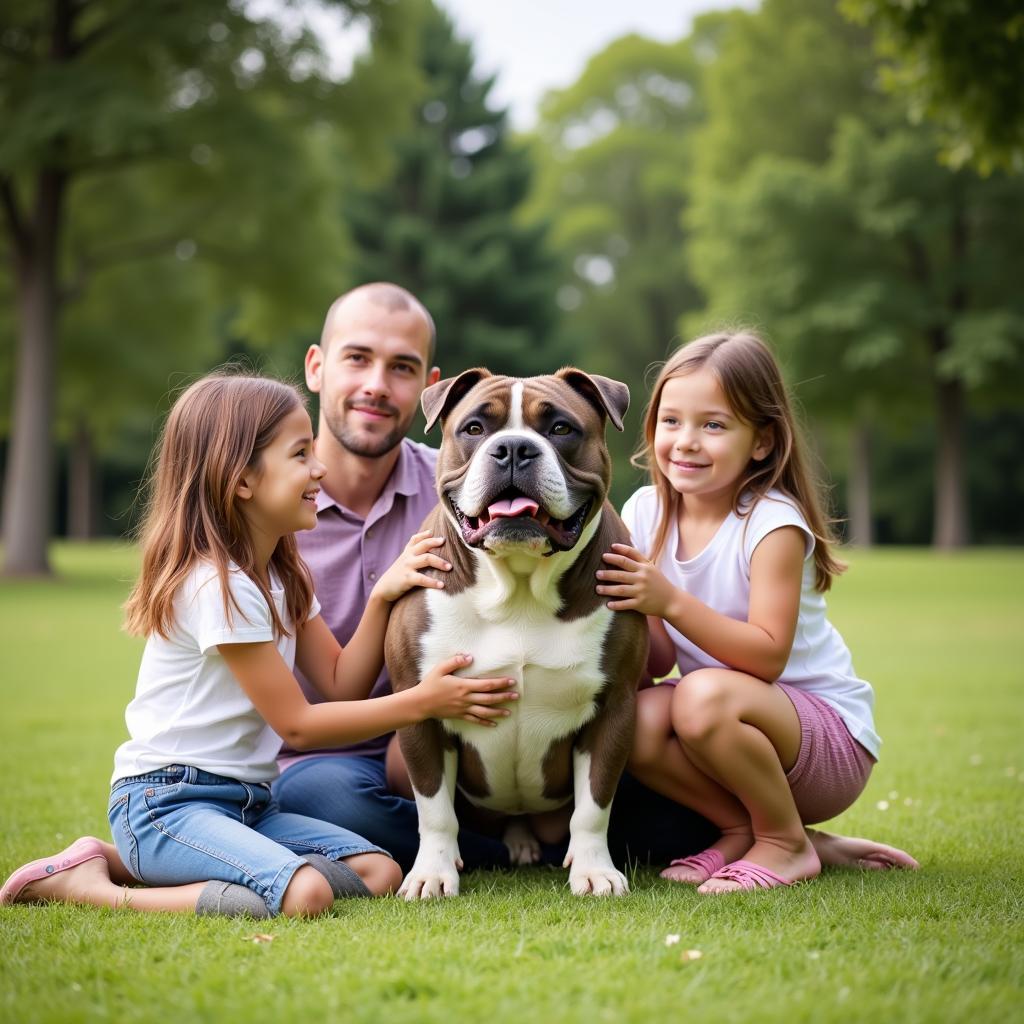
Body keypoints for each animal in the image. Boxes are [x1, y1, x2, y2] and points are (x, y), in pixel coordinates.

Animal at [385, 368, 647, 897]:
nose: (512, 449)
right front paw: (431, 874)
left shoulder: (615, 707)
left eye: (561, 428)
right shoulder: (419, 707)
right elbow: (435, 810)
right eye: (474, 428)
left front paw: (594, 870)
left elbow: (594, 806)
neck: (519, 585)